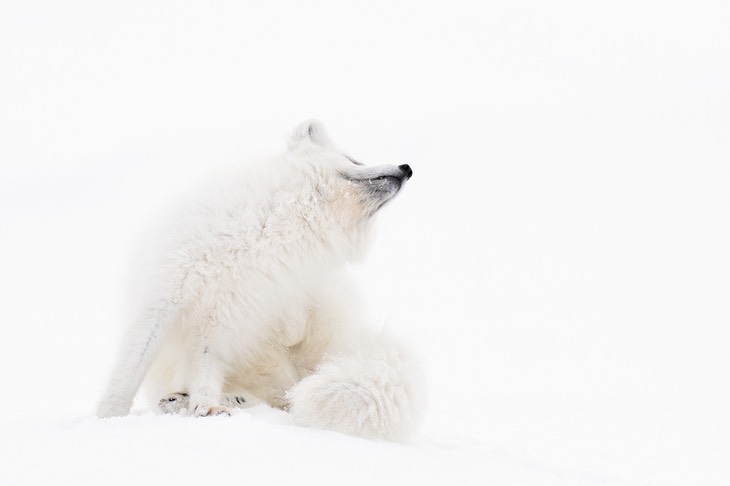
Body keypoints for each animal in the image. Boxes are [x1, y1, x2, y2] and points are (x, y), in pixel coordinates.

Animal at [96, 120, 420, 440]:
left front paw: (206, 406)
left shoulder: (221, 324)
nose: (407, 168)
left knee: (286, 396)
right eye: (354, 160)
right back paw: (183, 399)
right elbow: (129, 373)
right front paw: (108, 418)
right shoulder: (163, 298)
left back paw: (214, 400)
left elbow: (206, 368)